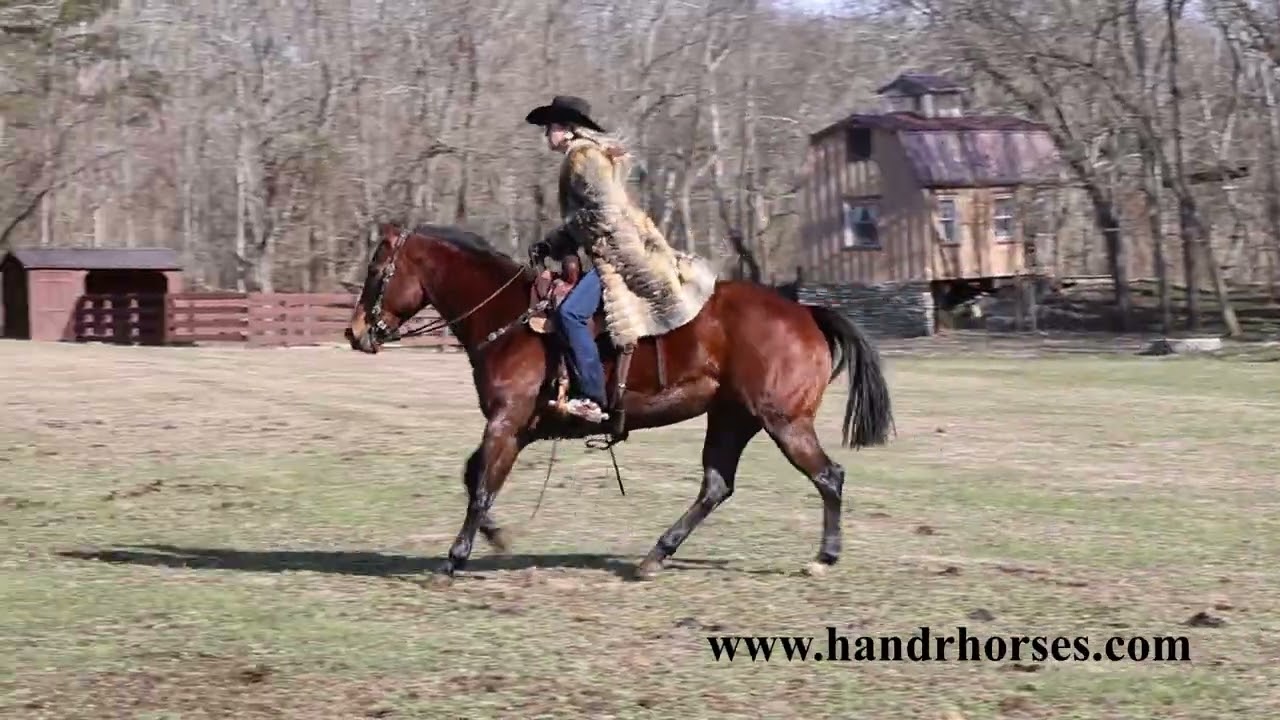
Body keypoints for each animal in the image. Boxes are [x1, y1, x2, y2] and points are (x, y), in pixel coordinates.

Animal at [344, 222, 894, 580]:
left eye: (377, 269)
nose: (355, 333)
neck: (511, 320)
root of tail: (805, 312)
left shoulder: (505, 424)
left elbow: (480, 488)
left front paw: (454, 557)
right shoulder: (516, 429)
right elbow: (474, 476)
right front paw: (495, 538)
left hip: (785, 422)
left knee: (828, 476)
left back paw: (823, 557)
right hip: (731, 419)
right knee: (716, 486)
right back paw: (655, 556)